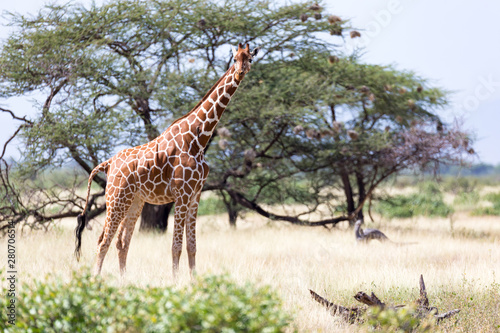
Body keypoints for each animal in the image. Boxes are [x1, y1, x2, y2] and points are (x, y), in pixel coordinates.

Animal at [76, 44, 260, 278]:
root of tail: (108, 163)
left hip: (134, 201)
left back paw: (123, 279)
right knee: (103, 242)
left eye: (250, 59)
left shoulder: (195, 194)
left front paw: (194, 280)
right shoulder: (182, 194)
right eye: (234, 58)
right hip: (116, 198)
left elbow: (192, 245)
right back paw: (95, 279)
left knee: (122, 242)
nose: (240, 73)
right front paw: (175, 281)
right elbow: (176, 246)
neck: (198, 139)